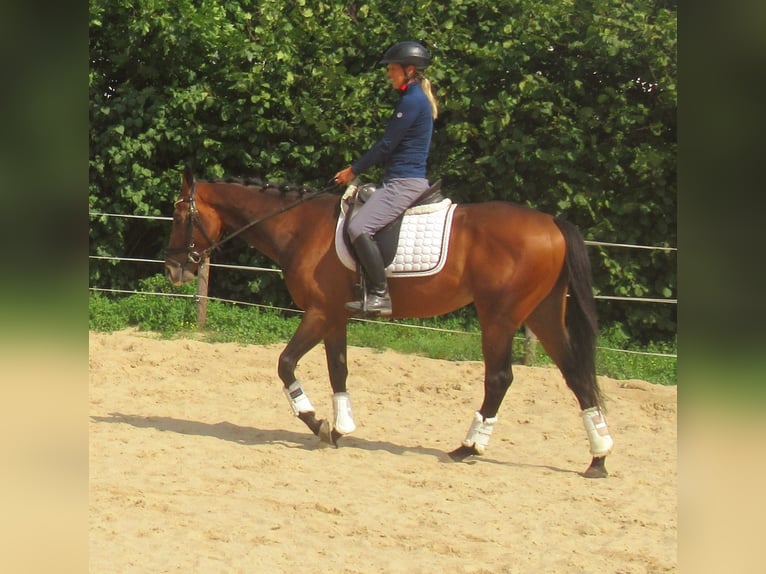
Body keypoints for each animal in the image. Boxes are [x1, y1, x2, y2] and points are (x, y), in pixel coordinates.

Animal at [165, 168, 616, 482]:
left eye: (180, 213)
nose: (172, 269)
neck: (302, 228)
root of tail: (552, 223)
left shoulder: (319, 312)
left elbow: (286, 364)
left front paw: (317, 422)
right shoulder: (335, 317)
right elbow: (339, 370)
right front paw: (340, 428)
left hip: (500, 316)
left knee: (500, 378)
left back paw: (469, 447)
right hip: (542, 314)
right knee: (575, 375)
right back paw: (598, 456)